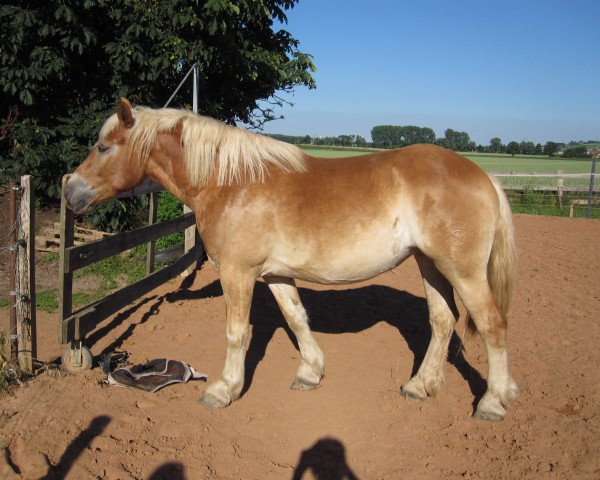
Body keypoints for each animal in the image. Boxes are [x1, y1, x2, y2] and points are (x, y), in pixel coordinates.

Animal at [64, 97, 516, 420]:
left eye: (103, 147)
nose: (69, 190)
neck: (231, 182)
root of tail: (483, 177)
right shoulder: (276, 275)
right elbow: (297, 319)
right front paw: (310, 373)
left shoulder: (238, 273)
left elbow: (237, 333)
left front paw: (223, 390)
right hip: (430, 264)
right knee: (442, 321)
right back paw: (420, 386)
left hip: (464, 272)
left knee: (492, 326)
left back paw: (493, 402)